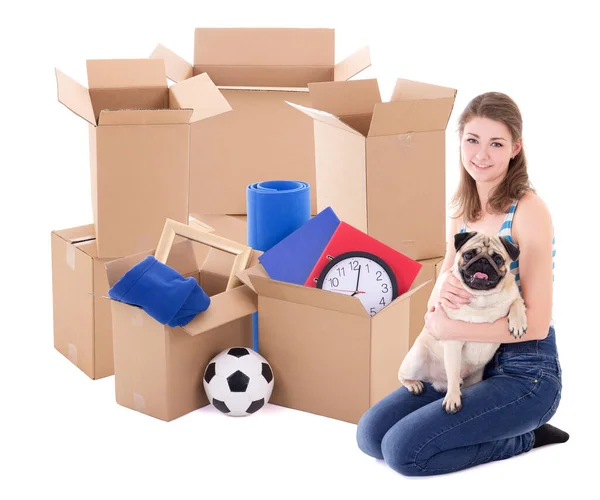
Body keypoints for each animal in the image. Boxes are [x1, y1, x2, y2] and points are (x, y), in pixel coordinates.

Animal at [398, 232, 524, 412]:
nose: (483, 261)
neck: (481, 298)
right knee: (403, 375)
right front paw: (452, 398)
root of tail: (436, 381)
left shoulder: (514, 296)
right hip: (415, 358)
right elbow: (452, 371)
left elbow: (517, 303)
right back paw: (414, 384)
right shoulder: (453, 342)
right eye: (468, 255)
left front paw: (518, 323)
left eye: (498, 259)